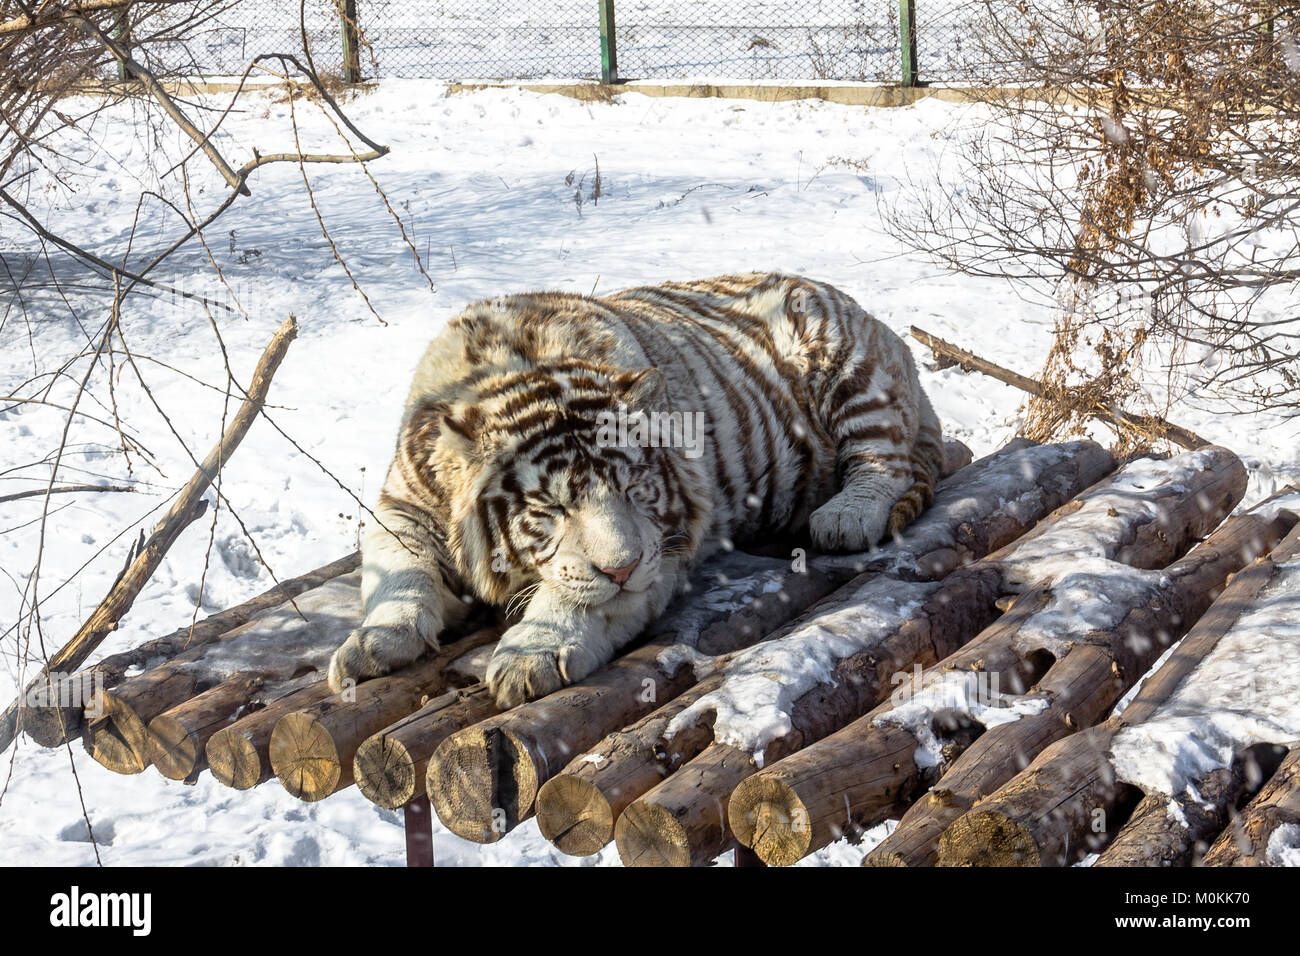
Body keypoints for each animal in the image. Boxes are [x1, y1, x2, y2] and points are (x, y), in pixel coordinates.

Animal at [327, 272, 945, 708]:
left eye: (632, 489)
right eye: (551, 508)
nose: (620, 568)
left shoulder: (664, 546)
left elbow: (580, 597)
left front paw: (532, 653)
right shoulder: (403, 506)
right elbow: (397, 573)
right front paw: (370, 645)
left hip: (848, 370)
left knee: (883, 459)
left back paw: (844, 517)